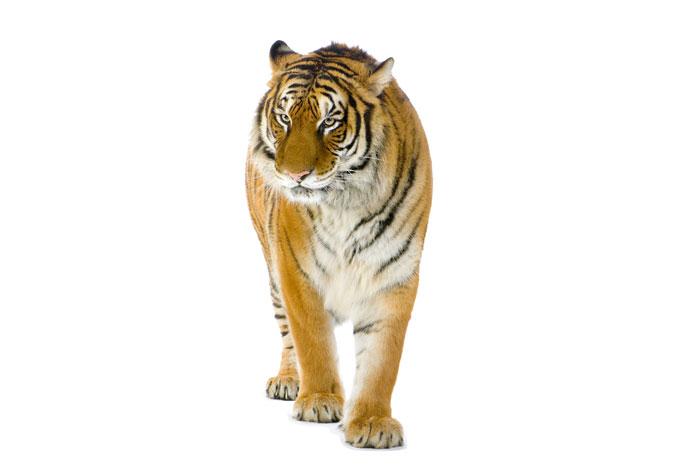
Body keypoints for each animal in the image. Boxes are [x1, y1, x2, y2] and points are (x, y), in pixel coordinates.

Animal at [245, 40, 432, 448]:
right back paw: (288, 381)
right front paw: (319, 400)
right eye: (284, 118)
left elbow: (382, 359)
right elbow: (312, 340)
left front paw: (373, 422)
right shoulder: (296, 270)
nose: (295, 175)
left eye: (329, 122)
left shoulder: (394, 275)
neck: (345, 200)